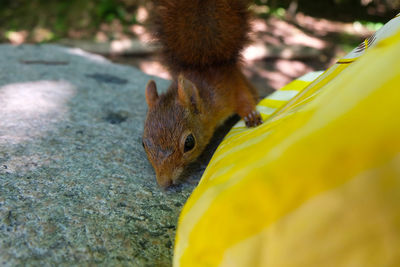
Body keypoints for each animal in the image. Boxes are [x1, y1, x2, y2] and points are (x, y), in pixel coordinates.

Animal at [141, 0, 262, 188]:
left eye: (189, 143)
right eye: (143, 144)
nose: (164, 183)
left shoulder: (228, 89)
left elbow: (243, 99)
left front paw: (251, 115)